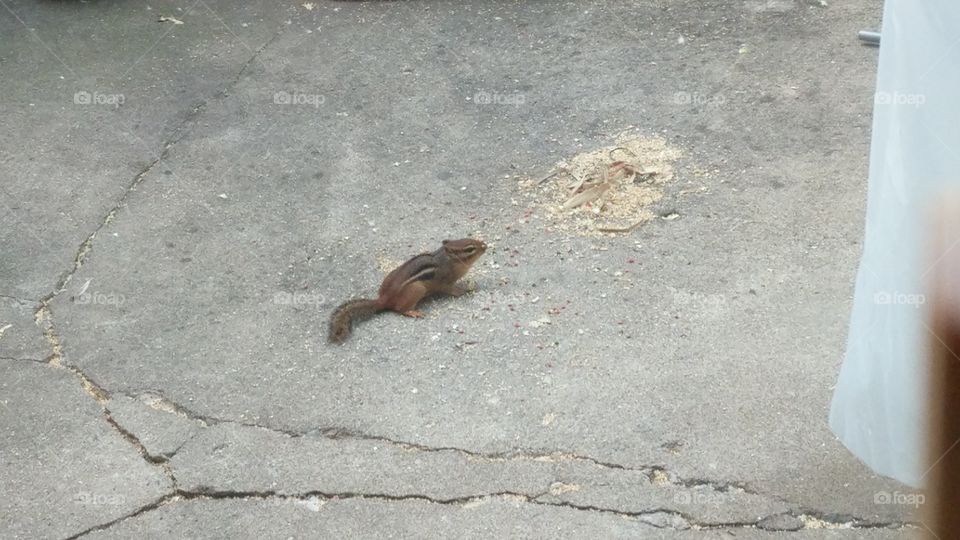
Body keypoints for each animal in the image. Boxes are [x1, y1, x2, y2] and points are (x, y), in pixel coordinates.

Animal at [328, 238, 487, 343]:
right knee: (399, 309)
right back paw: (413, 312)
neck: (447, 260)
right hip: (417, 289)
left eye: (471, 237)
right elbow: (452, 290)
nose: (485, 245)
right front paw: (465, 290)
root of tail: (384, 298)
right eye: (470, 248)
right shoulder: (445, 281)